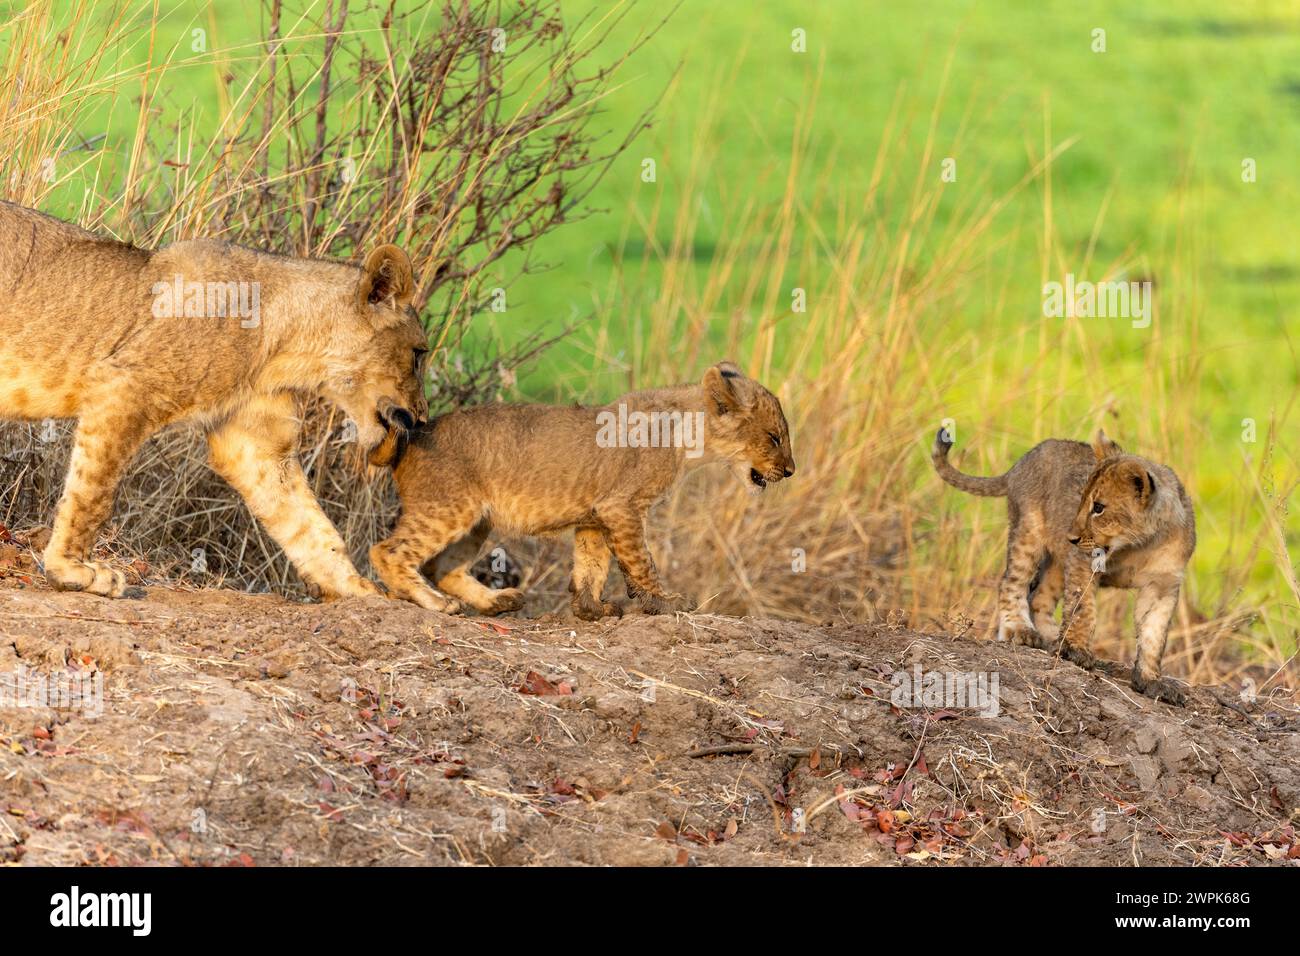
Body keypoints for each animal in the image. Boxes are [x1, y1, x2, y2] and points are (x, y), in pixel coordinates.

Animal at [0, 201, 429, 600]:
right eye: (419, 354)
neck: (287, 347)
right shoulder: (123, 388)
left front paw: (362, 589)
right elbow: (93, 493)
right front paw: (71, 570)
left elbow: (310, 525)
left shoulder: (256, 443)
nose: (421, 418)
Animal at [369, 361, 796, 619]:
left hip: (477, 520)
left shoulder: (595, 515)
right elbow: (642, 561)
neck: (687, 437)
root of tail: (416, 434)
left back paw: (497, 601)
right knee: (388, 551)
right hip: (448, 507)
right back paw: (436, 603)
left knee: (443, 567)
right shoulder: (622, 507)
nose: (790, 471)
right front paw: (666, 601)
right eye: (774, 438)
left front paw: (591, 609)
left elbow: (592, 564)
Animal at [932, 427, 1195, 704]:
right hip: (1029, 533)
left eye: (1098, 508)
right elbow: (1082, 608)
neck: (1140, 544)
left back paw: (1052, 637)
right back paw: (1021, 630)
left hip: (1058, 563)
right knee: (1011, 582)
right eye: (1082, 501)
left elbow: (1154, 634)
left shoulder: (1163, 584)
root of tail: (1020, 463)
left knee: (1039, 598)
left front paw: (1151, 681)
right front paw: (1076, 650)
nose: (1072, 538)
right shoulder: (1084, 561)